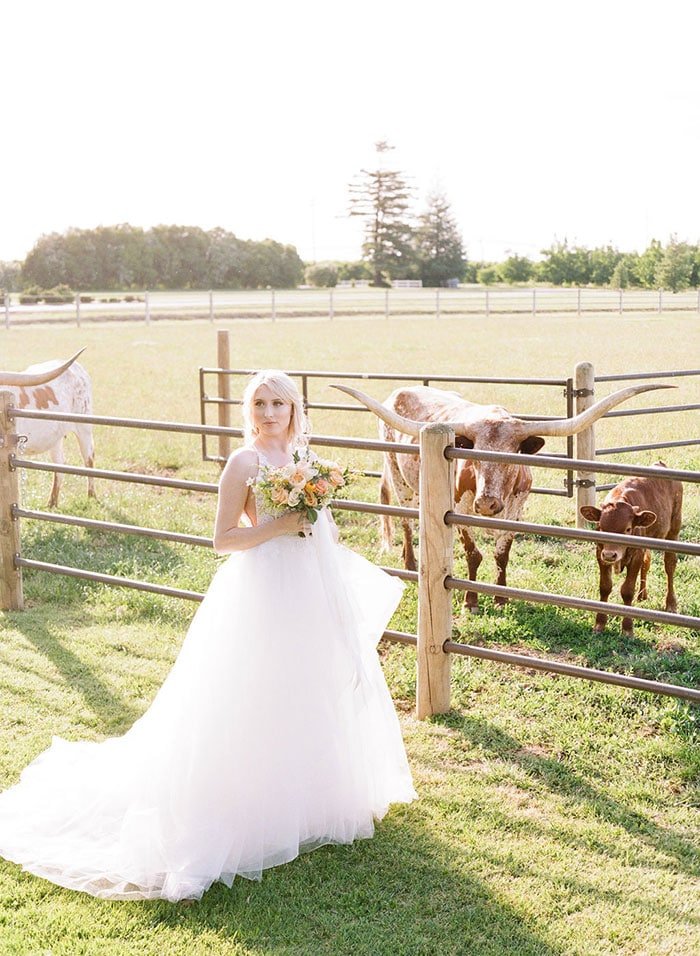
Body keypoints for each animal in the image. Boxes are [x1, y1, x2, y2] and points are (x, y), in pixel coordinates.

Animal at [0, 352, 95, 508]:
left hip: (84, 428)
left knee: (89, 460)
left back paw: (91, 497)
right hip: (55, 438)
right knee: (59, 464)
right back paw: (52, 504)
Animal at [334, 382, 672, 612]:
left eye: (510, 457)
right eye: (473, 456)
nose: (487, 503)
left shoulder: (515, 510)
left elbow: (501, 554)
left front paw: (499, 596)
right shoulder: (458, 508)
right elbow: (473, 553)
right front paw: (470, 599)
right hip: (397, 474)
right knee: (405, 519)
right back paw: (410, 561)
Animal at [580, 462, 684, 636]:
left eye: (628, 529)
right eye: (601, 526)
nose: (610, 555)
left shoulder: (635, 556)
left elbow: (627, 590)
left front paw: (627, 628)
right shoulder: (600, 554)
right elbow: (605, 587)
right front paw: (600, 623)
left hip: (673, 530)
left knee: (670, 565)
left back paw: (671, 604)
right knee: (647, 563)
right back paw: (642, 595)